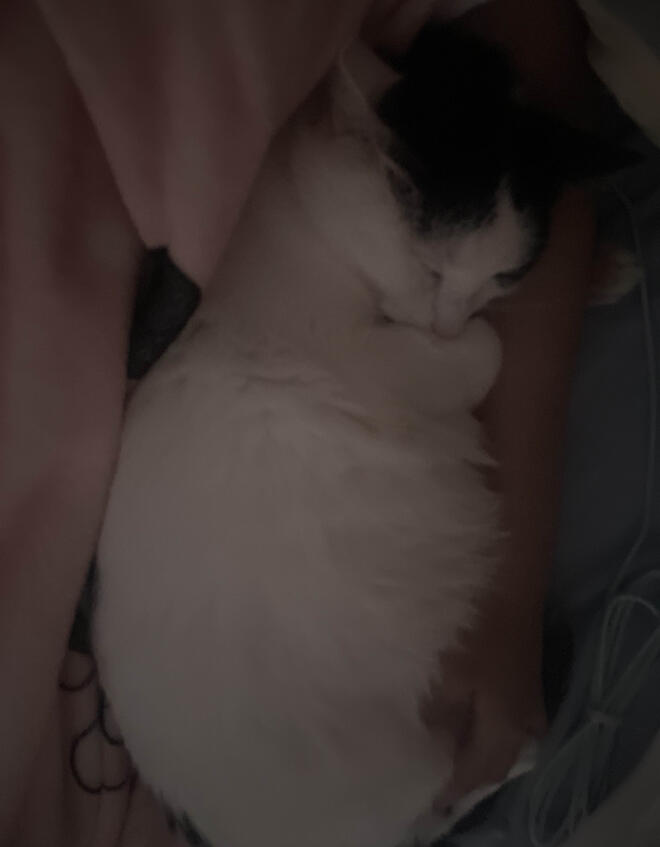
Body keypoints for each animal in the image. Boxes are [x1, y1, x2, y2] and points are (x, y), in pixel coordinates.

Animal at [94, 26, 632, 847]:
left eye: (501, 274)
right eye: (429, 265)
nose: (445, 320)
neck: (301, 204)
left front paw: (603, 268)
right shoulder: (367, 354)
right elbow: (487, 353)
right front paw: (474, 339)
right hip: (409, 767)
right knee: (466, 786)